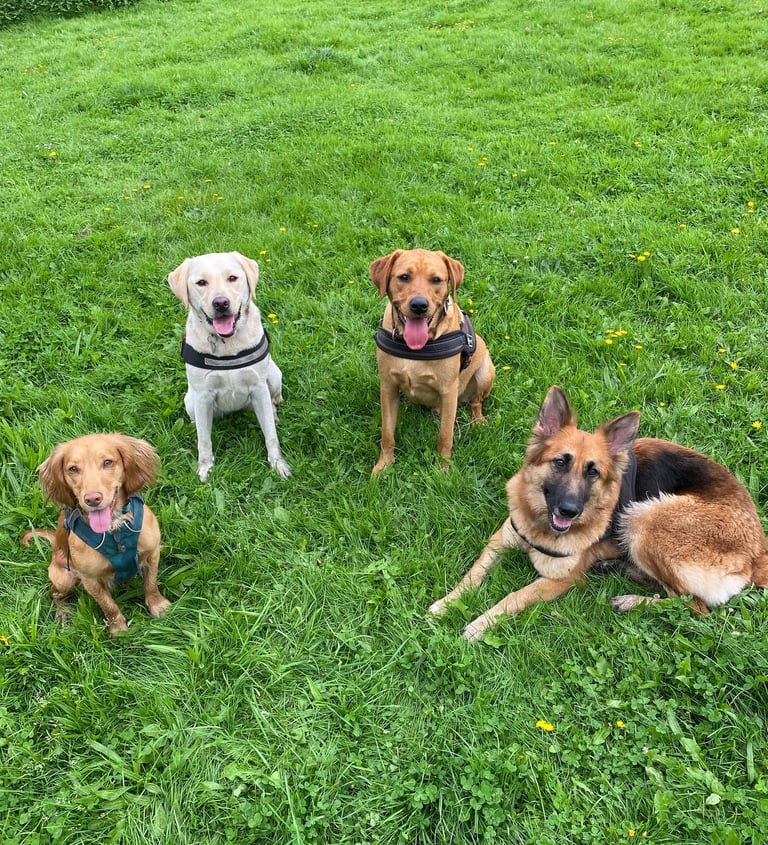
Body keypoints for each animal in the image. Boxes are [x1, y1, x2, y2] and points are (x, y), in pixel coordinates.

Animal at [21, 434, 171, 635]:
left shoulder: (153, 552)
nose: (93, 499)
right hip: (63, 577)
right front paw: (118, 628)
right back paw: (63, 612)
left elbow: (151, 584)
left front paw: (158, 605)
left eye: (108, 462)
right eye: (73, 469)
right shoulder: (89, 579)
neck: (114, 530)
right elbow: (108, 605)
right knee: (54, 593)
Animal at [168, 251, 291, 482]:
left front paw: (279, 465)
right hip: (190, 400)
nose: (221, 303)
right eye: (201, 282)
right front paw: (205, 468)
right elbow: (204, 441)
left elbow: (271, 435)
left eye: (232, 278)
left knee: (272, 402)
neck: (228, 343)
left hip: (274, 375)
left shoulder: (259, 387)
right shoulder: (203, 395)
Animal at [370, 248, 495, 474]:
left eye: (436, 280)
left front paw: (443, 469)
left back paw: (478, 421)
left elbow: (445, 436)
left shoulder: (448, 391)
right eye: (404, 277)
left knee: (476, 402)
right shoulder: (388, 386)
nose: (419, 305)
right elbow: (387, 433)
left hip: (484, 373)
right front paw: (384, 465)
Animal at [429, 385, 768, 640]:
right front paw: (446, 604)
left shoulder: (559, 581)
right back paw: (615, 568)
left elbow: (513, 597)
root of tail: (758, 554)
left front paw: (479, 625)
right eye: (560, 462)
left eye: (593, 472)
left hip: (645, 518)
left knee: (694, 606)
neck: (540, 526)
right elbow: (472, 575)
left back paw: (629, 600)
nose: (569, 511)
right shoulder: (500, 540)